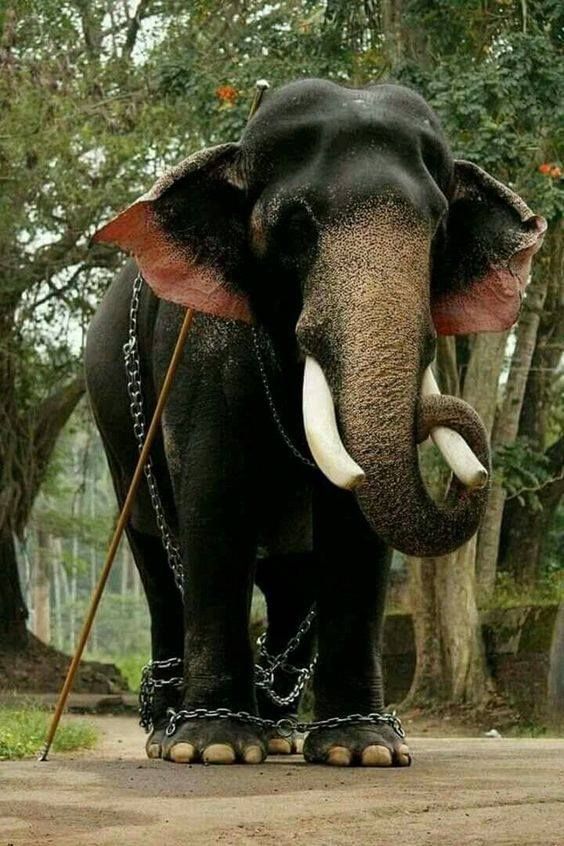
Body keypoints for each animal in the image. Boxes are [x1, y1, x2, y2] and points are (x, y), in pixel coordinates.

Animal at [85, 78, 545, 767]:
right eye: (296, 222)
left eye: (438, 225)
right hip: (116, 427)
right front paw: (213, 747)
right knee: (151, 549)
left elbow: (354, 524)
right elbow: (214, 499)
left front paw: (364, 750)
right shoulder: (204, 348)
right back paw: (168, 731)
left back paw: (278, 730)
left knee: (290, 574)